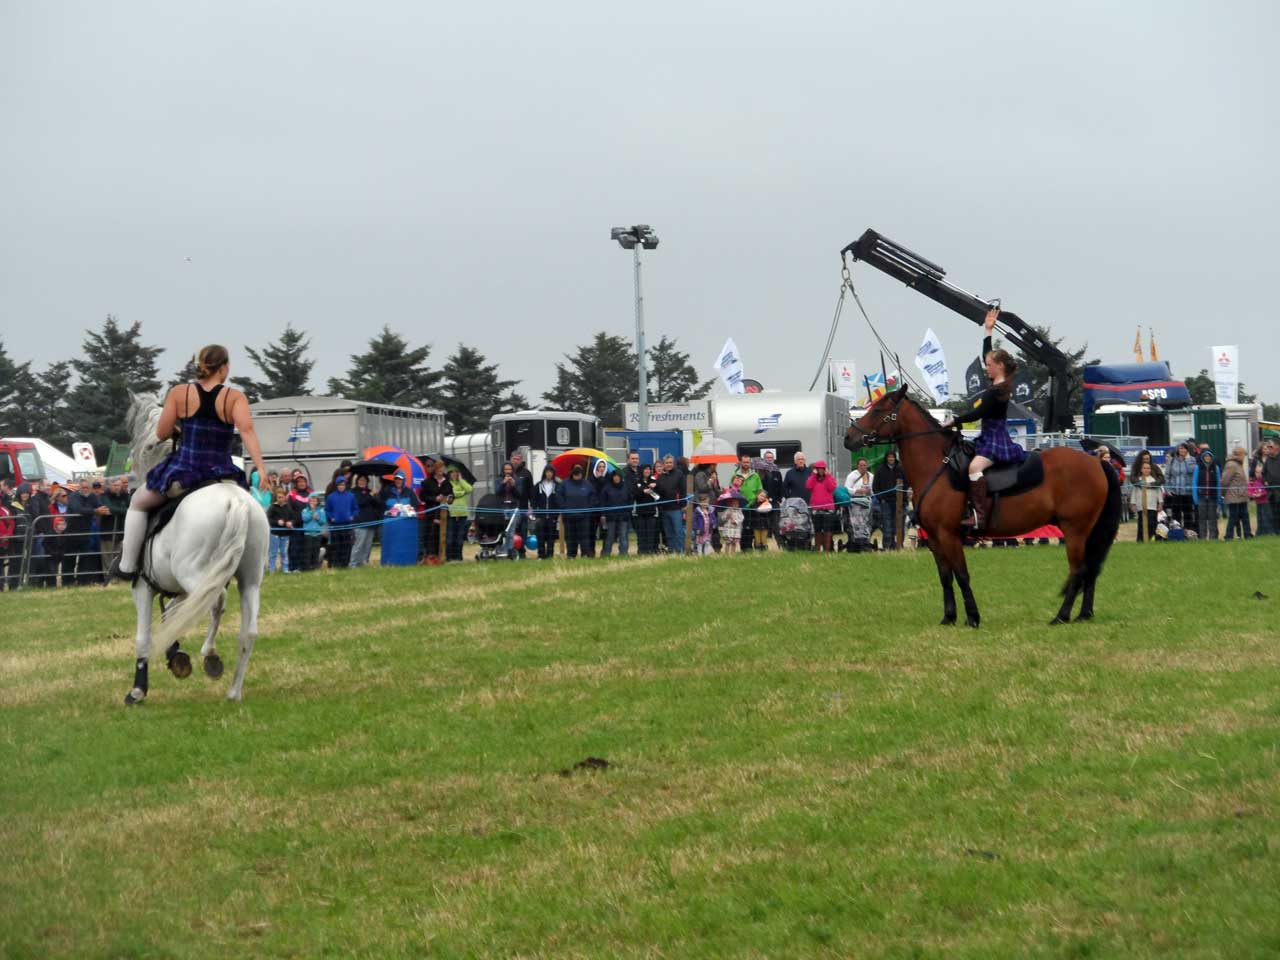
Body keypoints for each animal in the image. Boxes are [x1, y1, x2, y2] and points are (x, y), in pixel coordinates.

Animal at [123, 391, 271, 706]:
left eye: (145, 447)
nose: (129, 482)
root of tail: (235, 502)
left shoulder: (144, 587)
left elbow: (145, 637)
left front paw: (138, 690)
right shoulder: (179, 590)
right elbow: (172, 615)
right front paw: (175, 653)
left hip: (196, 574)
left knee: (218, 600)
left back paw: (210, 655)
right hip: (249, 579)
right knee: (248, 632)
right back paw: (233, 691)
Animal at [849, 386, 1121, 627]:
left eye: (878, 410)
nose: (849, 437)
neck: (937, 465)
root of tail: (1096, 461)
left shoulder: (948, 535)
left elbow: (961, 575)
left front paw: (972, 618)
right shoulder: (935, 538)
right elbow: (945, 577)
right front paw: (949, 617)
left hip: (1075, 530)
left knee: (1078, 570)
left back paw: (1061, 616)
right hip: (1088, 531)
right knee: (1091, 569)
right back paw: (1084, 614)